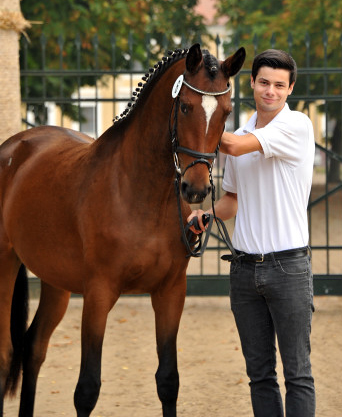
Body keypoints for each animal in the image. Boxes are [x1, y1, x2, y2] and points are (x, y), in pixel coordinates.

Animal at [0, 44, 246, 414]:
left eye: (227, 112)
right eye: (185, 106)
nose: (196, 188)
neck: (138, 194)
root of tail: (15, 147)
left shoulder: (171, 292)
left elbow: (168, 381)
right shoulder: (99, 294)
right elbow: (87, 389)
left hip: (56, 282)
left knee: (34, 348)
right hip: (5, 267)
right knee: (5, 356)